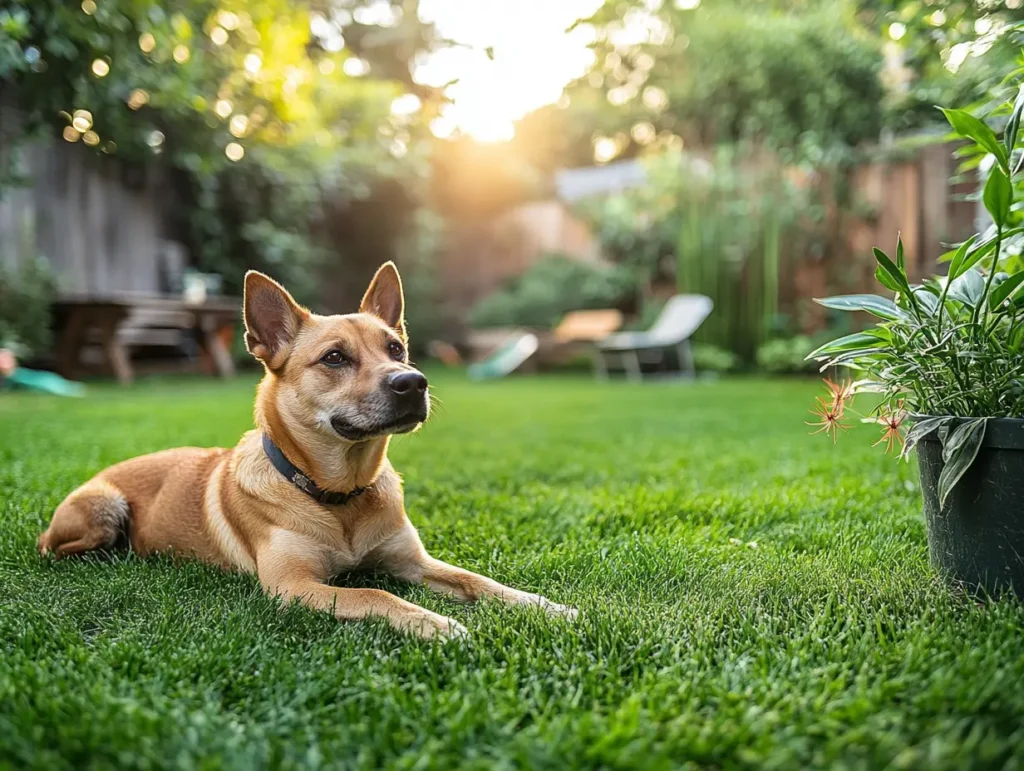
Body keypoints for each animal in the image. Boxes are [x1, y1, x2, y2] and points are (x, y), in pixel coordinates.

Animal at [37, 264, 577, 638]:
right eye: (334, 357)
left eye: (396, 349)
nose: (413, 382)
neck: (342, 495)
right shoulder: (293, 587)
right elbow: (373, 592)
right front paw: (435, 624)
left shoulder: (414, 562)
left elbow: (478, 581)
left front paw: (544, 605)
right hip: (103, 510)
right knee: (55, 549)